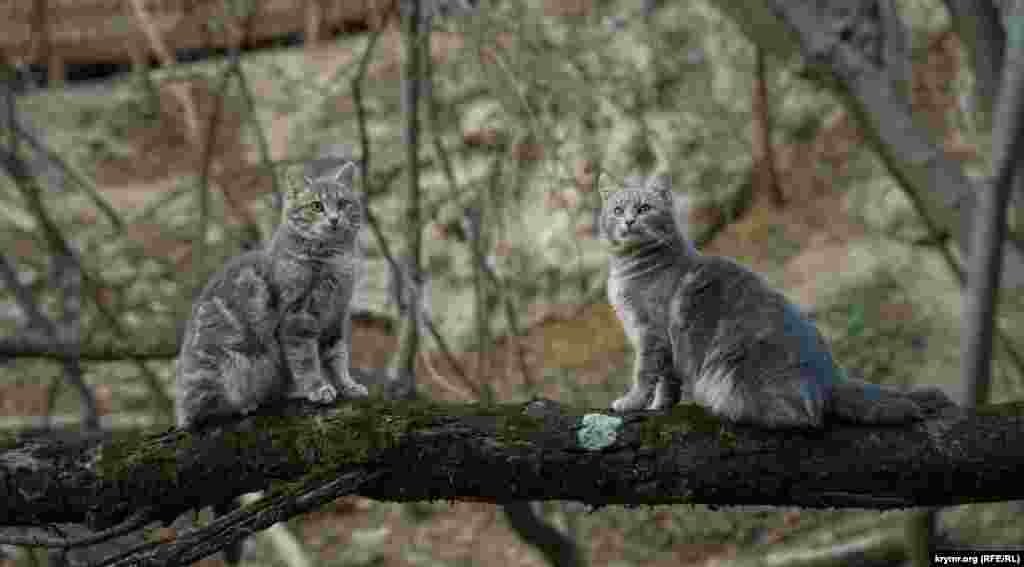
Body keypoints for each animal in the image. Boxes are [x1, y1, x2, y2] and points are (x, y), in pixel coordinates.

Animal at [176, 155, 368, 427]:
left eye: (342, 203)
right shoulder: (298, 318)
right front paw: (317, 388)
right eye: (316, 206)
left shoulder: (337, 317)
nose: (334, 219)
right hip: (228, 366)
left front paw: (348, 386)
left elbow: (338, 357)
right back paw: (244, 406)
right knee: (203, 412)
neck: (333, 260)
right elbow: (306, 360)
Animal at [598, 170, 950, 423]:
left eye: (644, 208)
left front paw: (631, 402)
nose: (628, 220)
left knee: (800, 418)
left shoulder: (651, 332)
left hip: (731, 374)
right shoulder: (664, 344)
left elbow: (645, 373)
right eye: (617, 209)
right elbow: (668, 381)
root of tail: (830, 375)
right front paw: (660, 406)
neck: (630, 267)